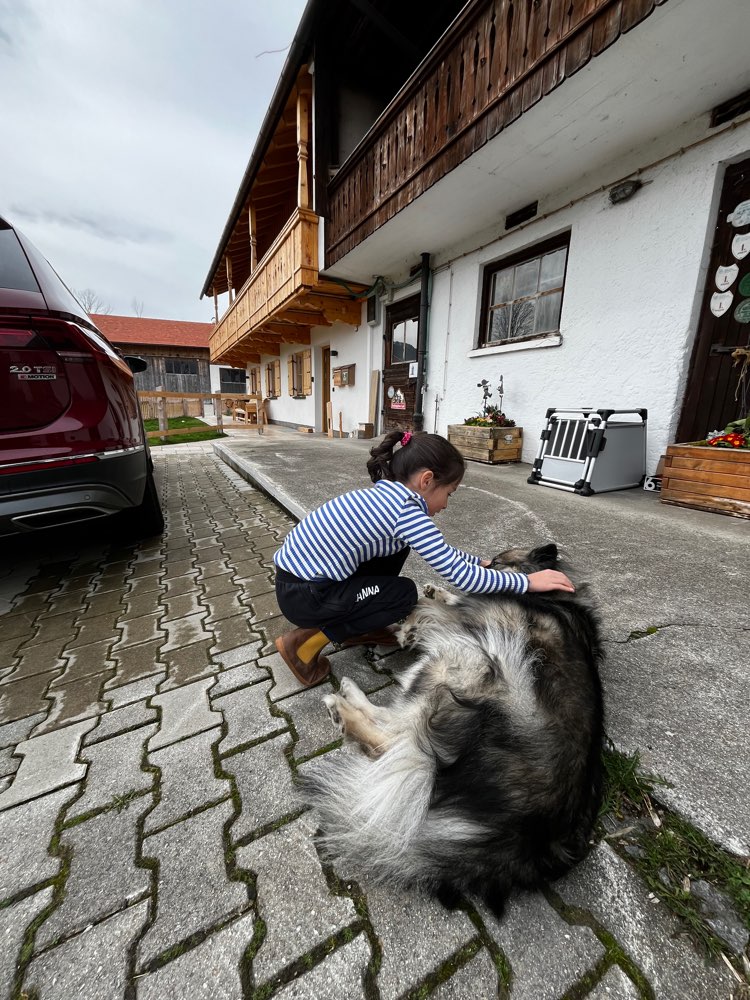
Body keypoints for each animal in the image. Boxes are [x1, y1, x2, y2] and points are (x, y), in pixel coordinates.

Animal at [300, 544, 604, 916]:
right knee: (394, 736)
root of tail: (526, 834)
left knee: (391, 737)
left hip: (467, 658)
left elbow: (442, 607)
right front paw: (436, 593)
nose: (486, 561)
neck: (555, 596)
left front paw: (414, 620)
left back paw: (342, 707)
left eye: (498, 561)